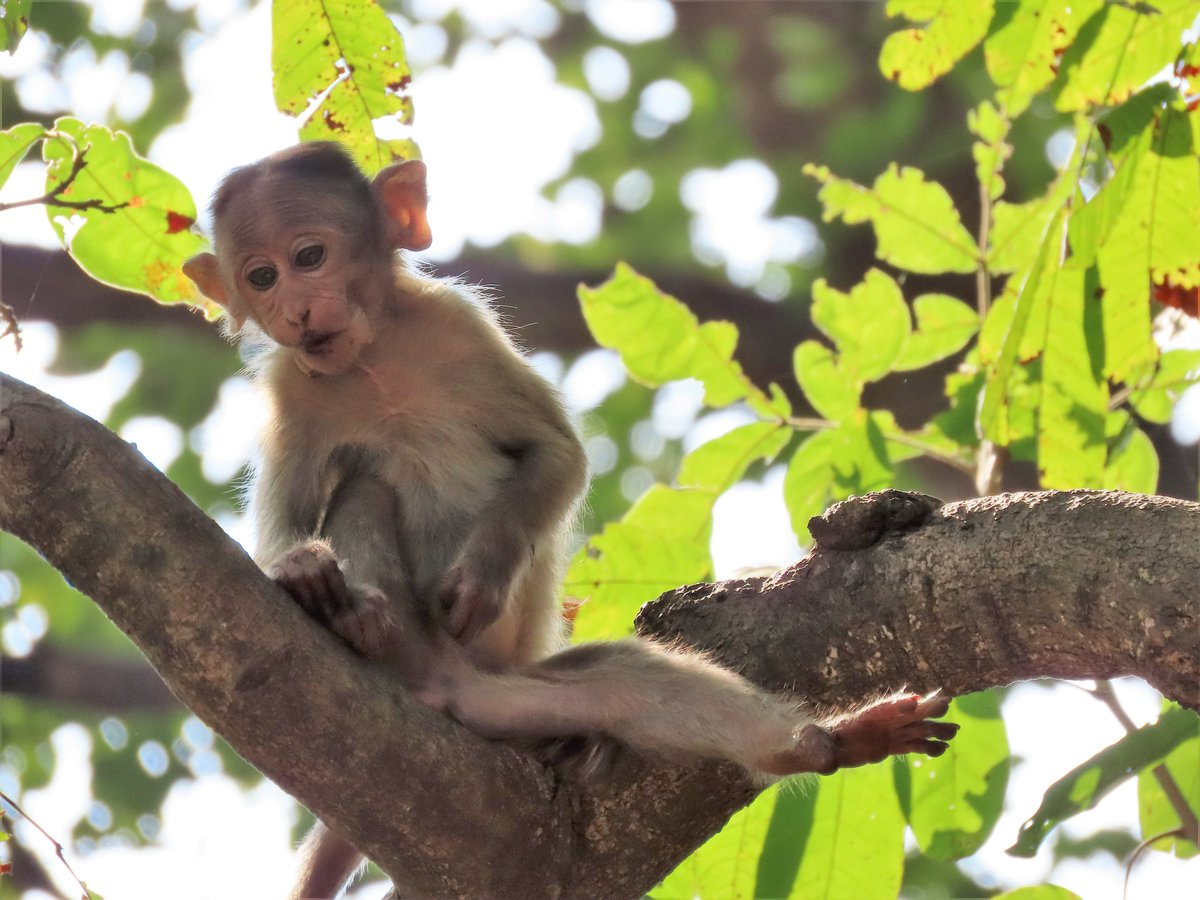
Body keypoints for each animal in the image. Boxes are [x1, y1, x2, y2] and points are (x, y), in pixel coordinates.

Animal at [183, 142, 958, 900]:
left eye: (308, 256)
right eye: (259, 276)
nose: (291, 309)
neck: (374, 361)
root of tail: (455, 687)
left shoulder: (458, 325)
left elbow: (555, 451)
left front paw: (483, 575)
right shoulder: (292, 389)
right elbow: (289, 510)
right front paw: (302, 567)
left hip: (516, 693)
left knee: (627, 679)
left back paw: (828, 743)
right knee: (364, 490)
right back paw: (370, 626)